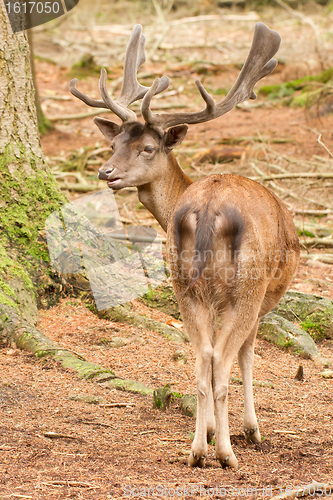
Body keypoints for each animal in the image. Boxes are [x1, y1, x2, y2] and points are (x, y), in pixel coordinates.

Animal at [69, 23, 298, 468]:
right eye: (113, 145)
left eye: (147, 148)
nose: (106, 171)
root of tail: (207, 208)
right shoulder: (262, 300)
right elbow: (247, 355)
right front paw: (252, 430)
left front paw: (208, 430)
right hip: (247, 283)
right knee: (220, 360)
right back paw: (225, 454)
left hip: (182, 278)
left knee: (201, 358)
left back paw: (196, 451)